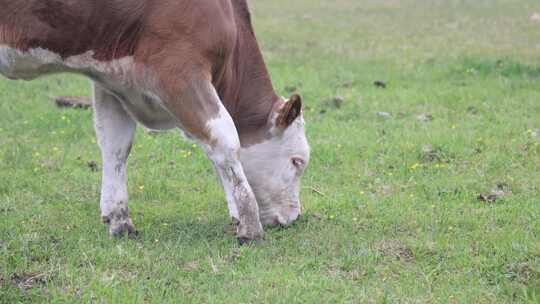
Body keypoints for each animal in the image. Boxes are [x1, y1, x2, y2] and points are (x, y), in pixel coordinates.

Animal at [0, 0, 310, 242]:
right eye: (297, 161)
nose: (295, 216)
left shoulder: (112, 78)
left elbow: (115, 145)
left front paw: (119, 220)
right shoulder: (180, 70)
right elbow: (224, 140)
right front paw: (249, 225)